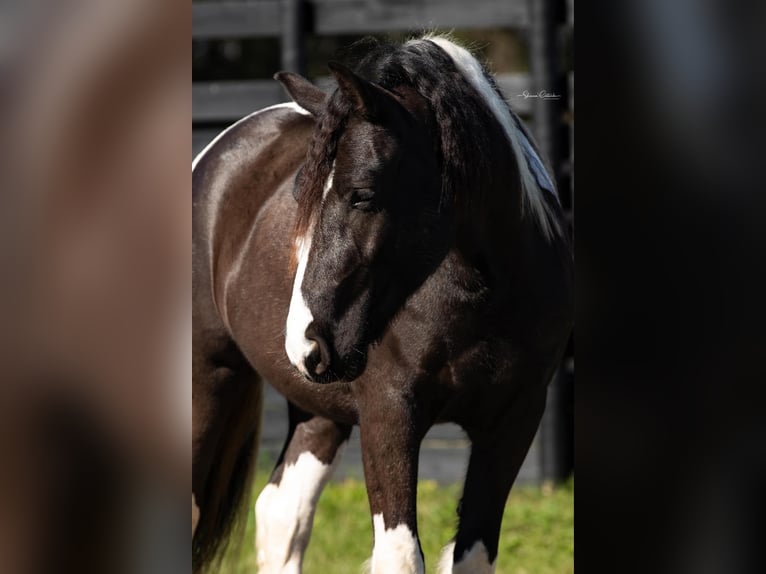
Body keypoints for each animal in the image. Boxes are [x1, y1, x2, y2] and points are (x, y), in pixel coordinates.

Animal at [195, 36, 572, 574]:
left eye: (362, 195)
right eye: (300, 194)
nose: (305, 342)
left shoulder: (514, 420)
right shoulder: (389, 414)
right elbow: (400, 554)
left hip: (318, 413)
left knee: (281, 514)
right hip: (208, 381)